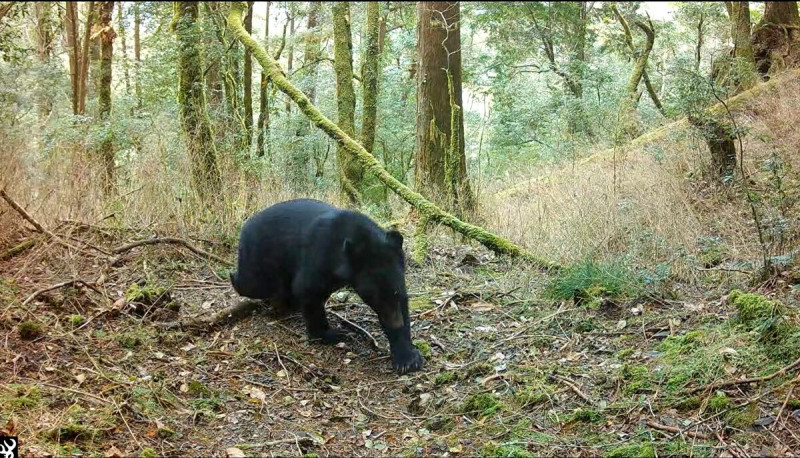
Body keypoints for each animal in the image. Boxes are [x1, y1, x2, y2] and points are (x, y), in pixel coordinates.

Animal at [228, 199, 422, 374]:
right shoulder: (319, 254)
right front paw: (331, 334)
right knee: (252, 283)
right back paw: (236, 278)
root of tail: (246, 226)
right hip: (261, 257)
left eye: (395, 293)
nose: (396, 322)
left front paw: (407, 358)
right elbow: (306, 288)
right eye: (375, 297)